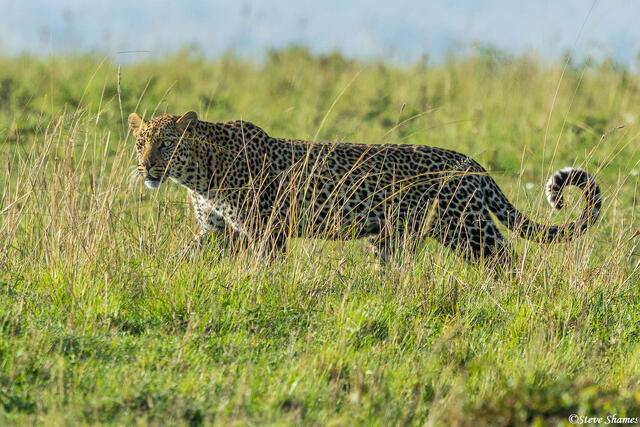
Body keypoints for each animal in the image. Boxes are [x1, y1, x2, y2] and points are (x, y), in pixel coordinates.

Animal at [128, 111, 601, 269]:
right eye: (141, 142)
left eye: (167, 143)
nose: (147, 165)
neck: (200, 175)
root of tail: (474, 164)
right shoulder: (215, 229)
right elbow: (186, 255)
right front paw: (163, 276)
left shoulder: (267, 230)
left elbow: (265, 267)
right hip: (393, 237)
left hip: (463, 226)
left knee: (507, 258)